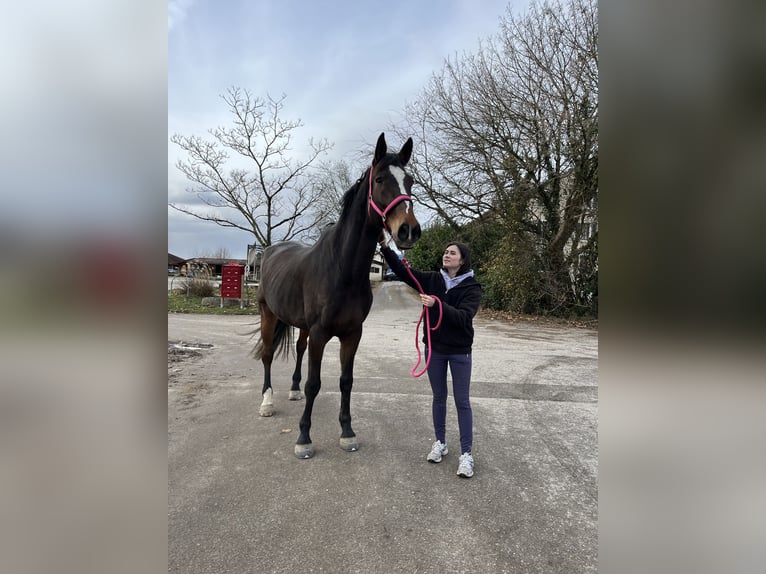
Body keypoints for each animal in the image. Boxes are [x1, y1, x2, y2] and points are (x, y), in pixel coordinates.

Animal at [255, 133, 424, 462]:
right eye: (380, 179)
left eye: (409, 181)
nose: (408, 230)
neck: (341, 268)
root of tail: (271, 251)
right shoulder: (321, 333)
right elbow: (315, 383)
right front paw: (304, 438)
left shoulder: (352, 333)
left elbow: (346, 381)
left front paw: (347, 432)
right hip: (268, 313)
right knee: (267, 355)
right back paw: (267, 403)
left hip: (302, 326)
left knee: (299, 349)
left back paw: (292, 390)